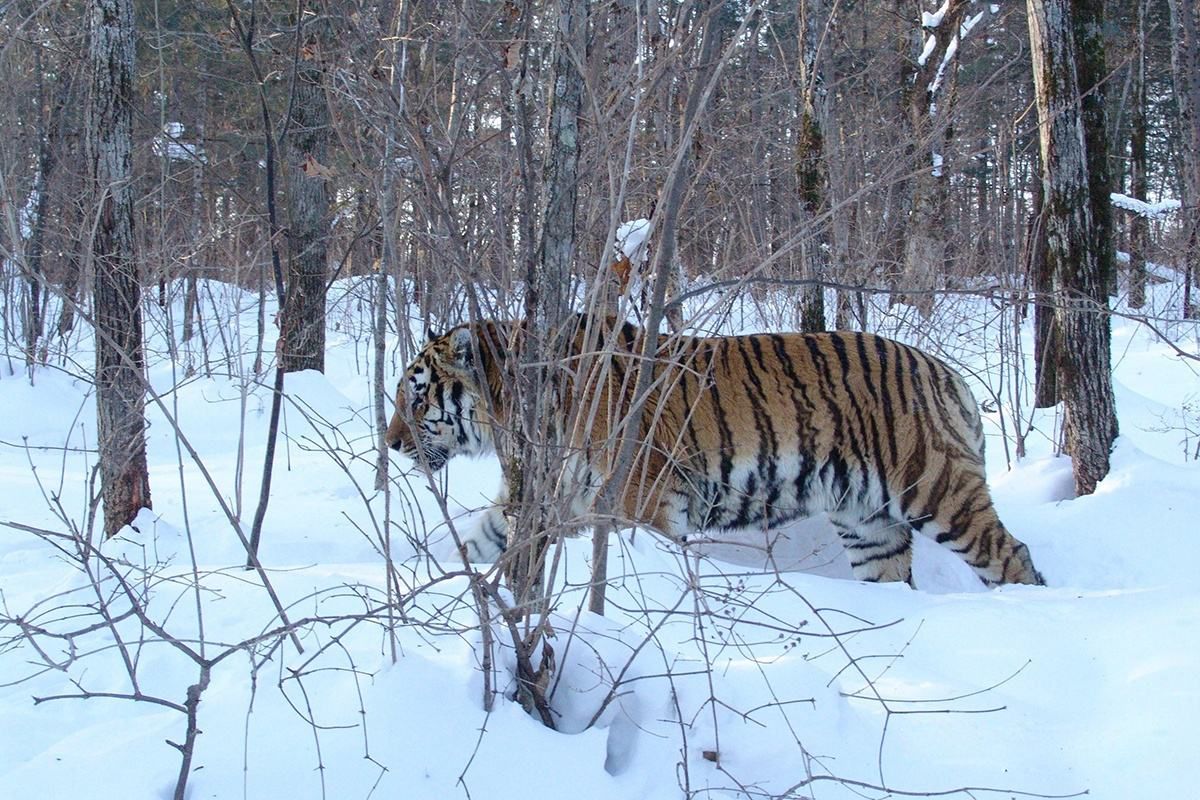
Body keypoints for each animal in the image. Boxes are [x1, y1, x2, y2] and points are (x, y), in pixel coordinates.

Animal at [384, 314, 1041, 587]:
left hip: (935, 488)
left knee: (1013, 557)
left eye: (416, 395)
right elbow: (482, 538)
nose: (390, 444)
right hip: (868, 522)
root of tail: (949, 374)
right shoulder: (548, 496)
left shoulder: (641, 502)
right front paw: (427, 572)